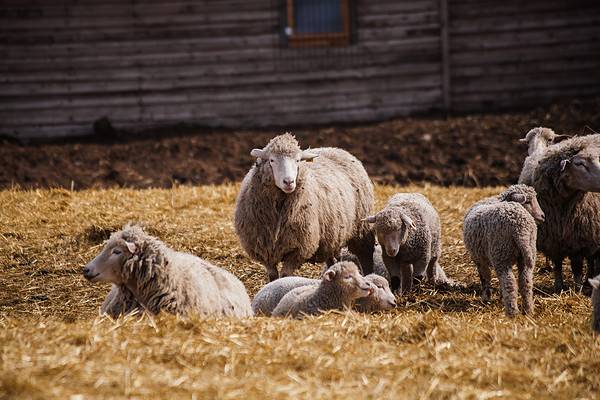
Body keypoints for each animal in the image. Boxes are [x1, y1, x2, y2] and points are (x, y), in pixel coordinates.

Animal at [234, 134, 376, 282]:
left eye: (297, 161)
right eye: (272, 160)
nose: (289, 182)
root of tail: (334, 148)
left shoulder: (298, 249)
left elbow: (285, 275)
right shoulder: (263, 250)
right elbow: (273, 276)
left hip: (361, 227)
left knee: (366, 255)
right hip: (330, 235)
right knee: (331, 259)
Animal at [462, 184, 548, 316]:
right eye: (528, 201)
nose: (543, 216)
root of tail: (520, 228)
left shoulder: (479, 258)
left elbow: (485, 277)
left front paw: (486, 298)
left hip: (501, 254)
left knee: (509, 282)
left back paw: (512, 312)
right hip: (526, 252)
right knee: (525, 282)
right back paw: (528, 310)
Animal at [532, 134, 600, 290]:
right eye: (579, 163)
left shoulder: (579, 239)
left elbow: (576, 267)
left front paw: (577, 287)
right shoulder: (552, 239)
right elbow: (557, 264)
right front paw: (558, 286)